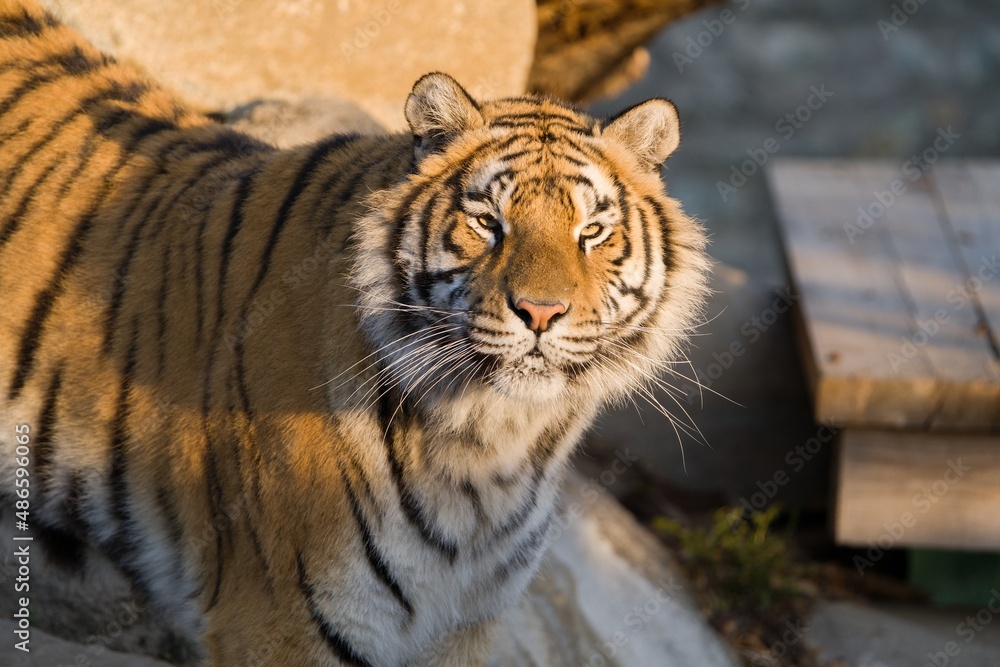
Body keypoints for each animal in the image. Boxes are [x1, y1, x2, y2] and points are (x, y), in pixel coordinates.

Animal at [0, 1, 710, 664]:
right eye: (487, 222)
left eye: (592, 232)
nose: (540, 312)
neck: (491, 451)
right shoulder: (278, 621)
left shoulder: (461, 628)